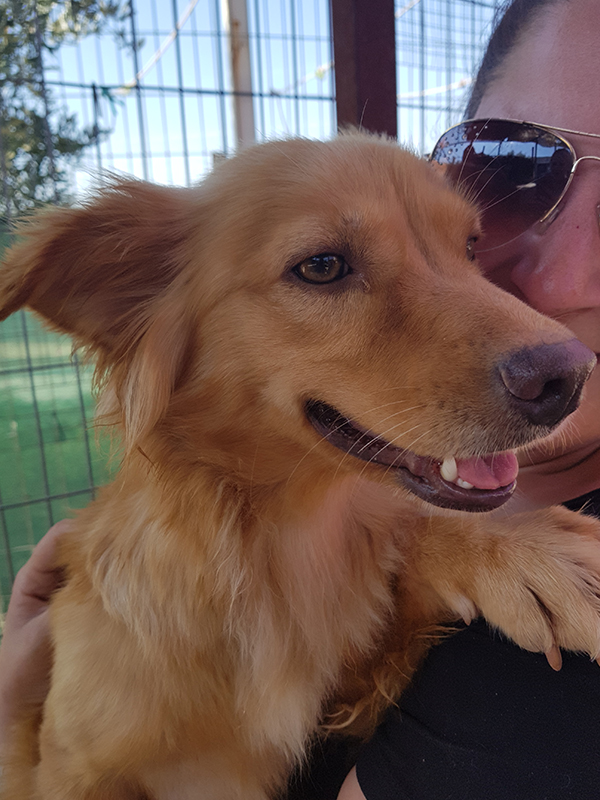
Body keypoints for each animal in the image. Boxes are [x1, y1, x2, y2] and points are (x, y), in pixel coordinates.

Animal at [2, 132, 600, 800]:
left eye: (470, 246)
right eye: (321, 267)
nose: (570, 376)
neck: (275, 547)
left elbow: (408, 543)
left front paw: (523, 549)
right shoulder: (67, 765)